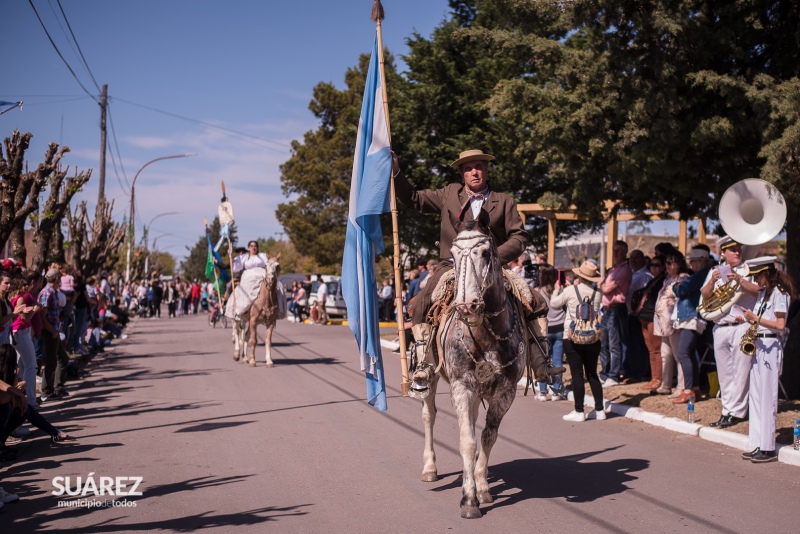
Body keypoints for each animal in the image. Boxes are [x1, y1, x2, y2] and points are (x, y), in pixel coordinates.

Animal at [422, 211, 528, 520]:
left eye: (485, 252)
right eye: (455, 254)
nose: (466, 304)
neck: (485, 333)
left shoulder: (505, 392)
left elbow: (488, 437)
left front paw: (481, 488)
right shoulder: (462, 386)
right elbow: (467, 441)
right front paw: (469, 500)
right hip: (430, 375)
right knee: (429, 415)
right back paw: (429, 468)